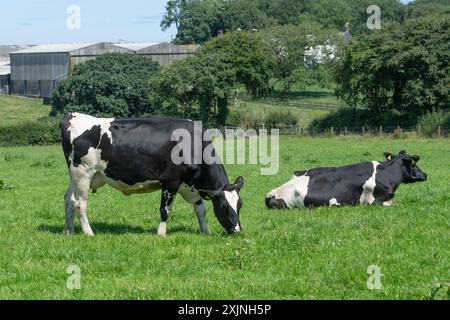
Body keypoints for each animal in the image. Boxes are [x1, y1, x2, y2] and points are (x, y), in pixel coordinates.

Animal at [60, 112, 244, 235]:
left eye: (240, 205)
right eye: (224, 206)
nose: (237, 231)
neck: (192, 145)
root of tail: (71, 115)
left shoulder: (189, 184)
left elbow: (201, 209)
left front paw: (205, 231)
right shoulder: (171, 181)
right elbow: (165, 210)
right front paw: (161, 233)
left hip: (75, 177)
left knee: (68, 199)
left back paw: (70, 231)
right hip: (83, 173)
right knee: (80, 203)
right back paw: (88, 232)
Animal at [266, 151, 428, 210]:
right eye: (414, 164)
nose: (425, 174)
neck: (386, 174)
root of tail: (270, 194)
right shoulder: (374, 202)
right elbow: (394, 203)